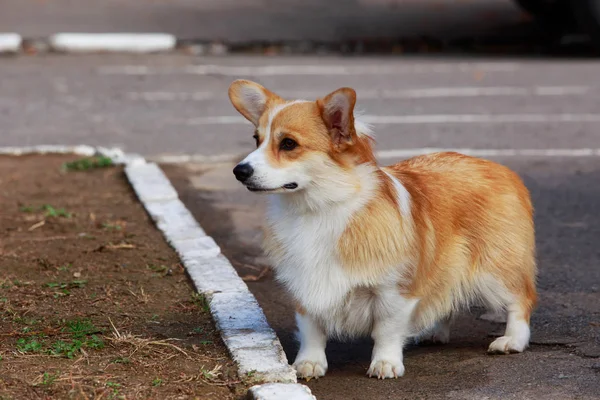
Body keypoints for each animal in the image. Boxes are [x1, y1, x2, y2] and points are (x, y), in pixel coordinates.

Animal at [227, 79, 536, 380]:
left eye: (288, 144)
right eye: (257, 140)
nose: (239, 172)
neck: (319, 209)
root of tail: (501, 169)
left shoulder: (394, 289)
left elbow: (386, 330)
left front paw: (385, 363)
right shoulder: (305, 285)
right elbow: (311, 328)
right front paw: (309, 363)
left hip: (494, 270)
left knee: (520, 300)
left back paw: (512, 340)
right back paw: (434, 332)